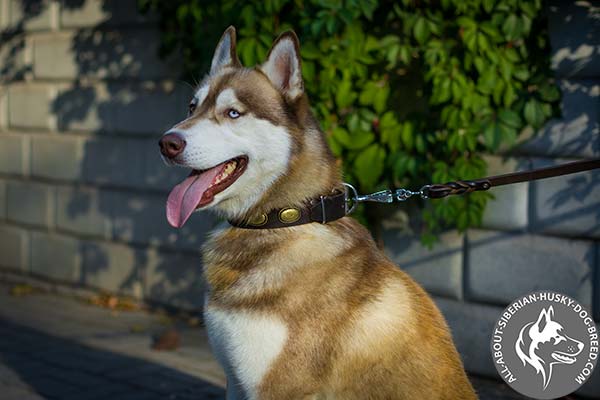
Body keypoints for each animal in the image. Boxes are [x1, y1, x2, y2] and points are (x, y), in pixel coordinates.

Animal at [161, 27, 478, 400]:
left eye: (233, 113)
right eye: (192, 107)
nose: (167, 142)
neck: (283, 218)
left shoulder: (279, 387)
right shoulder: (236, 381)